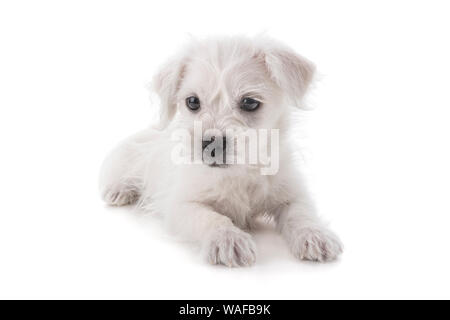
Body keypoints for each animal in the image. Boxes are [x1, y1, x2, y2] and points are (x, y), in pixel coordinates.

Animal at [100, 35, 342, 266]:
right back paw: (119, 190)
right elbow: (211, 218)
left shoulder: (292, 194)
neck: (239, 173)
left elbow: (301, 213)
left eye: (250, 102)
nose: (211, 143)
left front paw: (314, 234)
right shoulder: (181, 205)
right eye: (192, 101)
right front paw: (227, 239)